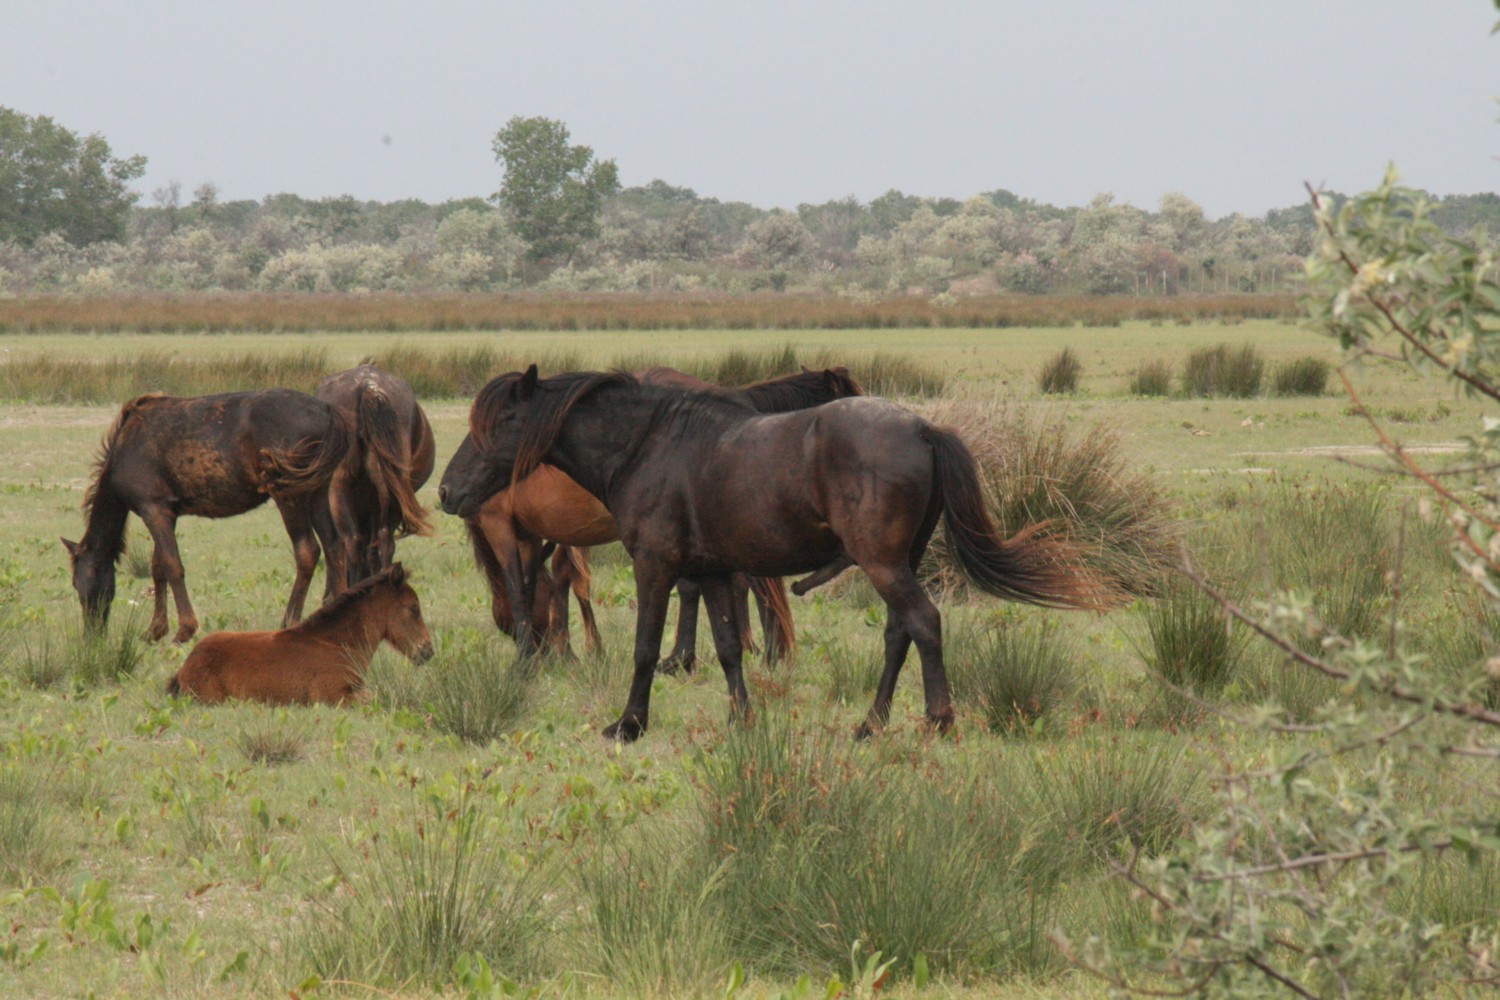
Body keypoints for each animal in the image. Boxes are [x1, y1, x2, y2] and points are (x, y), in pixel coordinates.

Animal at [62, 389, 355, 643]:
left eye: (79, 584)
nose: (92, 636)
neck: (124, 448)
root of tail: (328, 412)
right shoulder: (168, 511)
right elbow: (158, 567)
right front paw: (155, 629)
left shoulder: (153, 508)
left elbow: (172, 565)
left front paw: (184, 629)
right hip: (317, 490)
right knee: (334, 545)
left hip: (289, 493)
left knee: (307, 551)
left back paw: (289, 621)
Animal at [438, 367, 863, 662]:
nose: (445, 491)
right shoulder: (541, 534)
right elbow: (556, 582)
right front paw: (572, 650)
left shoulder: (503, 526)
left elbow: (526, 586)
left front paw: (540, 655)